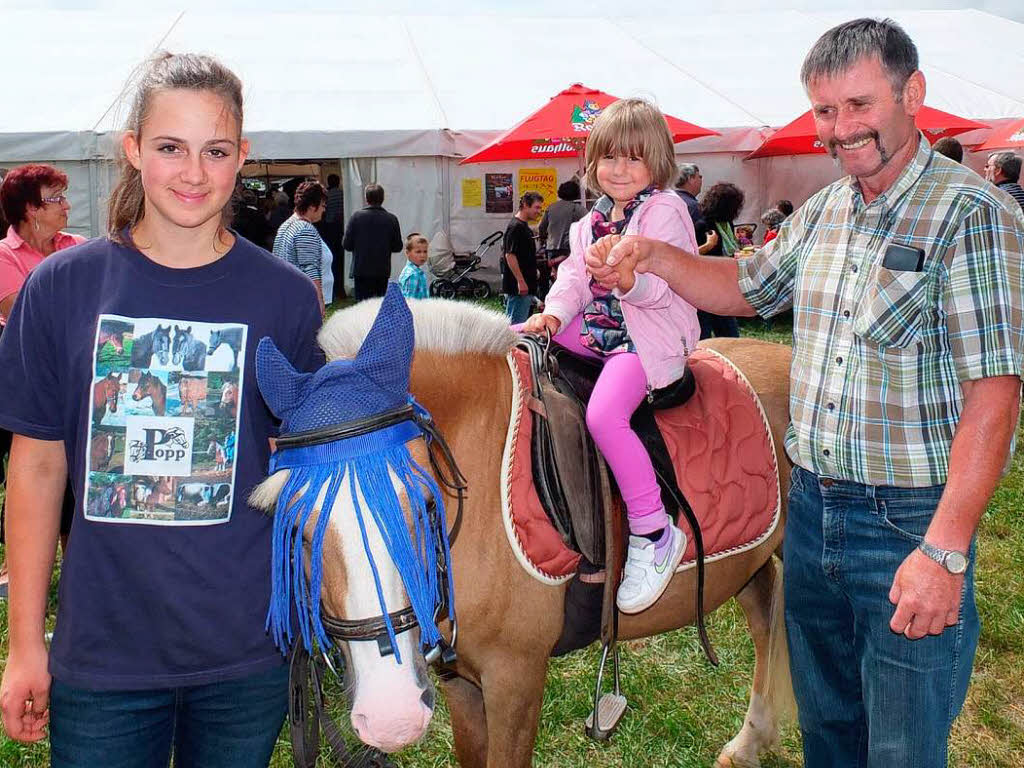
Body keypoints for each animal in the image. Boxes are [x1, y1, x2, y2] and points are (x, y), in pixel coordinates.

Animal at [249, 296, 790, 768]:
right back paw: (749, 743)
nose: (390, 716)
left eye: (426, 504)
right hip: (749, 563)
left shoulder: (515, 678)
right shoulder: (459, 680)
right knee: (767, 609)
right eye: (296, 529)